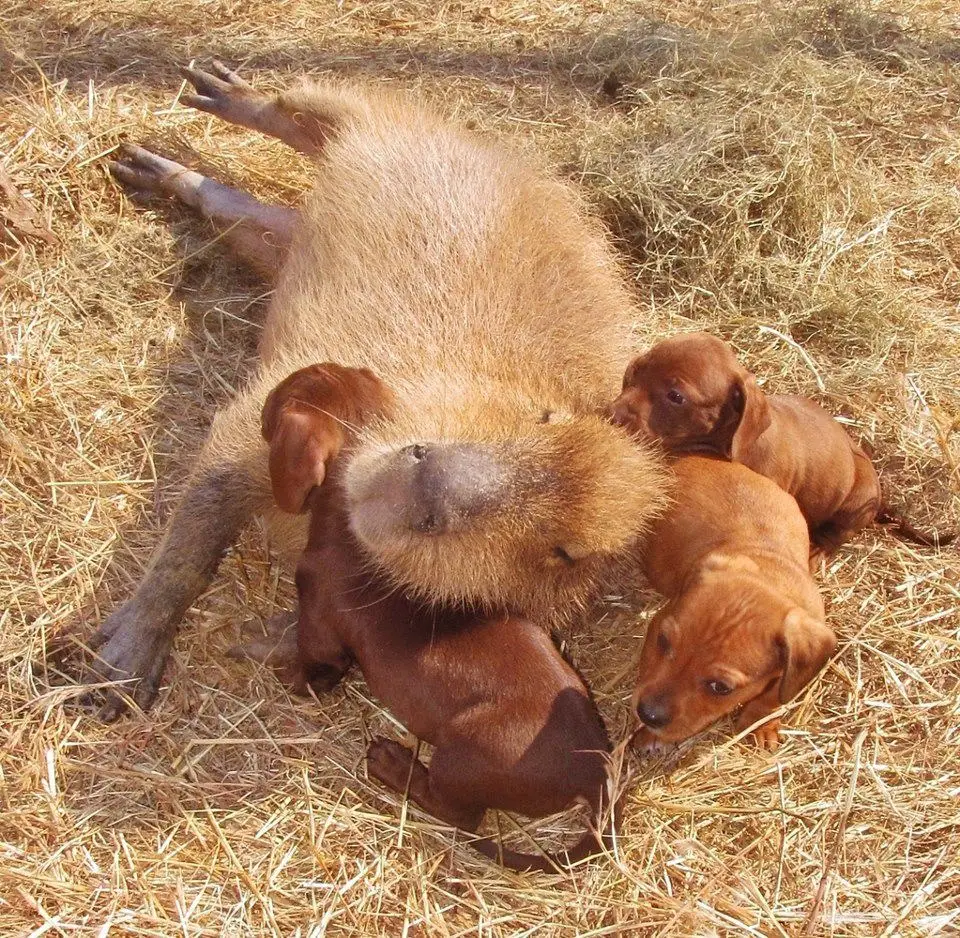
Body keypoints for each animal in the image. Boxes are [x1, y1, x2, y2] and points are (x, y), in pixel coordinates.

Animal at [246, 364, 616, 872]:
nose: (262, 404)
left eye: (282, 401)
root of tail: (592, 771)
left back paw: (392, 766)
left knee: (461, 815)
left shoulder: (322, 629)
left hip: (463, 758)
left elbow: (313, 668)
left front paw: (285, 670)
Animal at [612, 332, 948, 556]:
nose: (612, 413)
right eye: (635, 370)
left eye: (676, 396)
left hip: (855, 501)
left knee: (835, 536)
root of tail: (880, 496)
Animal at [632, 458, 832, 748]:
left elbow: (772, 696)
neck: (769, 573)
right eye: (663, 641)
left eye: (720, 688)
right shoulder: (657, 625)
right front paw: (648, 734)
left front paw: (761, 724)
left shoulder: (795, 672)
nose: (647, 714)